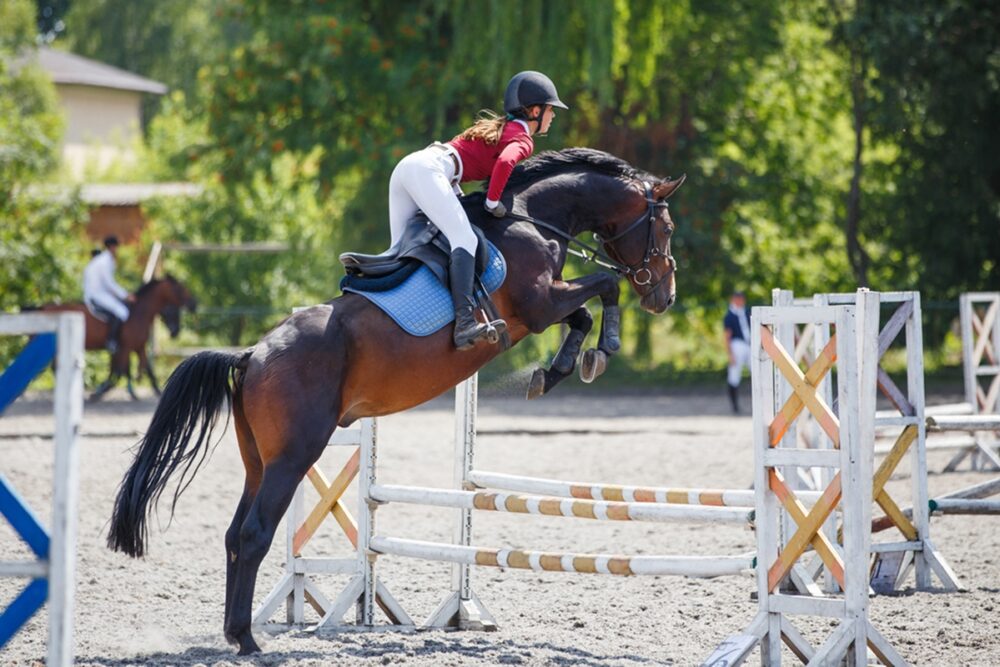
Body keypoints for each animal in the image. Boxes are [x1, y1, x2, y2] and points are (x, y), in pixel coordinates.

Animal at [38, 275, 197, 400]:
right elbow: (119, 371)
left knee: (55, 366)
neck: (140, 313)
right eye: (180, 289)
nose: (194, 304)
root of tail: (44, 307)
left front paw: (155, 391)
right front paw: (101, 391)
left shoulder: (137, 347)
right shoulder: (125, 348)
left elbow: (147, 369)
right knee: (55, 367)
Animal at [107, 148, 685, 654]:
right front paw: (599, 352)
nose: (665, 297)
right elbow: (604, 287)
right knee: (252, 534)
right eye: (667, 229)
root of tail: (252, 354)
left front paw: (561, 368)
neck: (533, 218)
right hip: (295, 456)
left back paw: (234, 632)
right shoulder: (541, 303)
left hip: (259, 461)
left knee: (233, 534)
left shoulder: (546, 307)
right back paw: (248, 641)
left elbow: (586, 310)